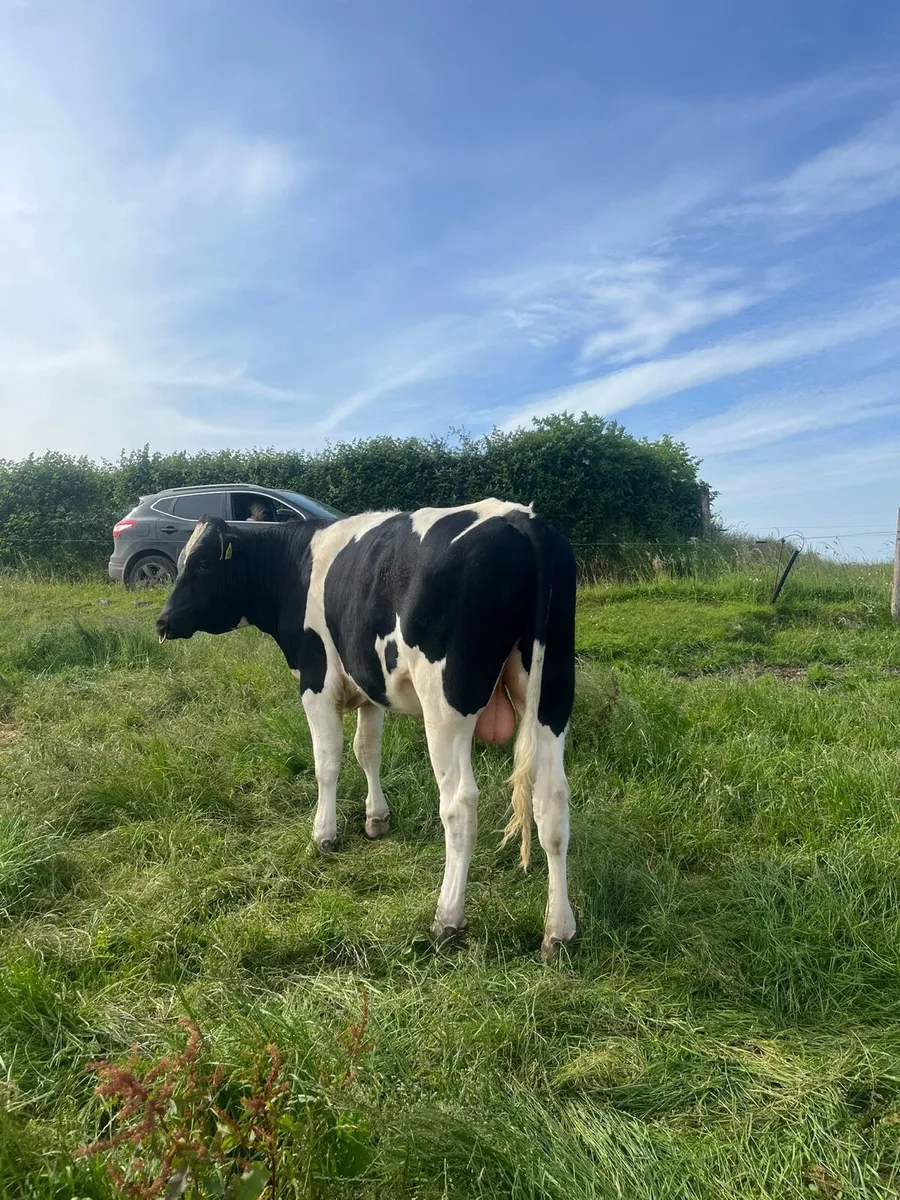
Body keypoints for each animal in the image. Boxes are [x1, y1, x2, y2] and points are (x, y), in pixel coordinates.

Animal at [156, 499, 576, 957]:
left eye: (201, 564)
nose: (162, 621)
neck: (295, 562)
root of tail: (520, 519)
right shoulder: (372, 685)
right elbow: (366, 750)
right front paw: (376, 819)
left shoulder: (316, 681)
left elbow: (328, 762)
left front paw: (324, 834)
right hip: (552, 693)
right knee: (552, 800)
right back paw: (558, 930)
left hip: (445, 704)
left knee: (460, 804)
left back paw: (447, 917)